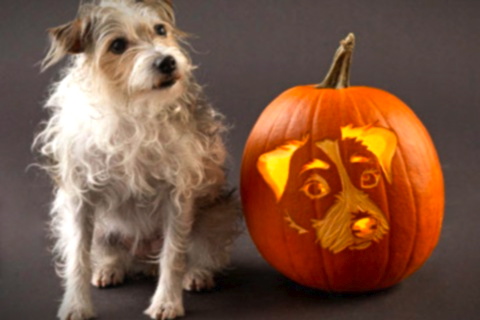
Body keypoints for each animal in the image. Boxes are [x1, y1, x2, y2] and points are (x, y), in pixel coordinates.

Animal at [32, 1, 239, 318]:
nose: (167, 62)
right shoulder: (79, 198)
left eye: (160, 30)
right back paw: (109, 267)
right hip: (102, 227)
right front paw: (76, 304)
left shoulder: (177, 194)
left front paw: (167, 302)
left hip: (217, 215)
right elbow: (78, 257)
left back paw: (198, 274)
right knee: (110, 253)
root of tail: (142, 260)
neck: (131, 105)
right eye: (117, 45)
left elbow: (173, 254)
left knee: (201, 253)